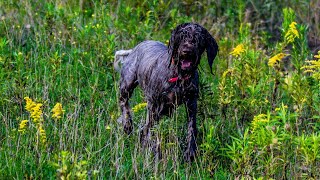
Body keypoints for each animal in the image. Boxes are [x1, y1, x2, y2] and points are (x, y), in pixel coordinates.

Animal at [114, 22, 219, 162]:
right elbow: (148, 130)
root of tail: (133, 50)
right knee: (124, 104)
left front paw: (189, 153)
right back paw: (127, 125)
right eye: (182, 36)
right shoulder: (154, 105)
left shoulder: (191, 103)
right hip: (127, 85)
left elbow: (192, 128)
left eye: (198, 38)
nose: (186, 51)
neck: (179, 77)